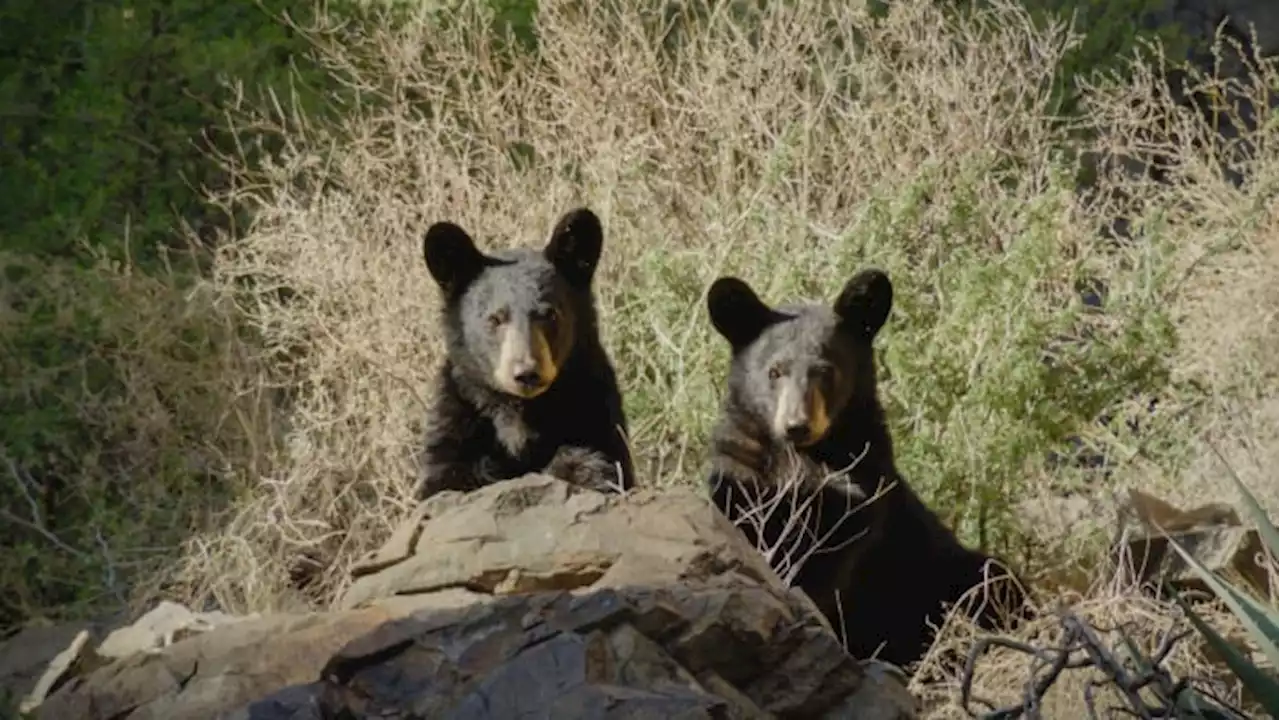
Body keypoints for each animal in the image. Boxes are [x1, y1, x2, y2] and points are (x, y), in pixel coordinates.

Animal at [414, 206, 634, 499]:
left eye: (550, 314)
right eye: (495, 318)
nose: (527, 373)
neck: (519, 411)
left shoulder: (592, 406)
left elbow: (600, 460)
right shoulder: (457, 415)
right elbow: (444, 477)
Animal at [701, 267, 1029, 666]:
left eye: (826, 371)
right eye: (774, 371)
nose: (797, 425)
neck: (802, 458)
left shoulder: (860, 501)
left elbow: (828, 572)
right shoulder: (740, 475)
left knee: (995, 579)